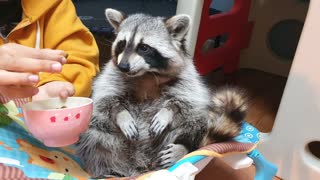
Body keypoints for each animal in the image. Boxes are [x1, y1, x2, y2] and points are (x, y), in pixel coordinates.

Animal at [76, 8, 249, 177]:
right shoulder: (112, 75)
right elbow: (106, 98)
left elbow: (187, 101)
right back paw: (109, 170)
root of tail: (141, 164)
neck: (146, 74)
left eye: (144, 47)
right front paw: (122, 114)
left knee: (194, 123)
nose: (123, 66)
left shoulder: (187, 77)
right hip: (107, 137)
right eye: (122, 44)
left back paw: (183, 148)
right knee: (96, 135)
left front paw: (168, 111)